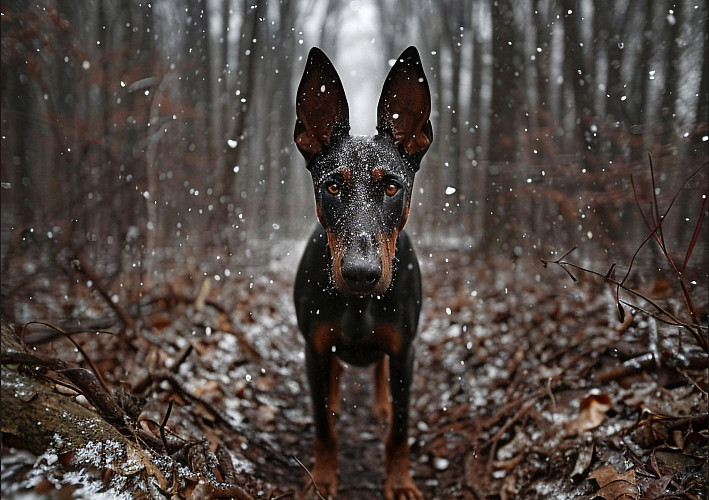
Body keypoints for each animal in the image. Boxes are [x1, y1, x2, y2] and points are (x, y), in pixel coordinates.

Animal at [294, 45, 432, 498]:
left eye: (391, 187)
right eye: (332, 186)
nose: (360, 274)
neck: (358, 305)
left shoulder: (405, 351)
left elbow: (400, 430)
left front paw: (400, 481)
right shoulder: (315, 349)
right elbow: (323, 426)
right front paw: (322, 477)